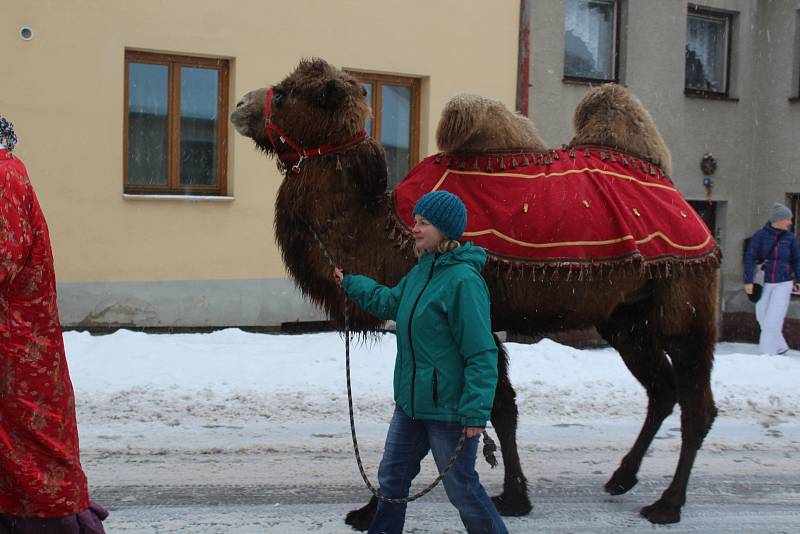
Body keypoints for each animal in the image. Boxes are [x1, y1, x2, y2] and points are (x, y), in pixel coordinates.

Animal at [230, 57, 720, 528]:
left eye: (288, 92)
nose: (240, 105)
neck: (383, 230)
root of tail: (678, 196)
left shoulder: (473, 319)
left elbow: (482, 408)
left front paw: (376, 510)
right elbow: (500, 409)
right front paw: (513, 496)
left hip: (686, 293)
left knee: (697, 403)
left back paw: (667, 504)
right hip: (625, 319)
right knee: (662, 390)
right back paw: (621, 478)